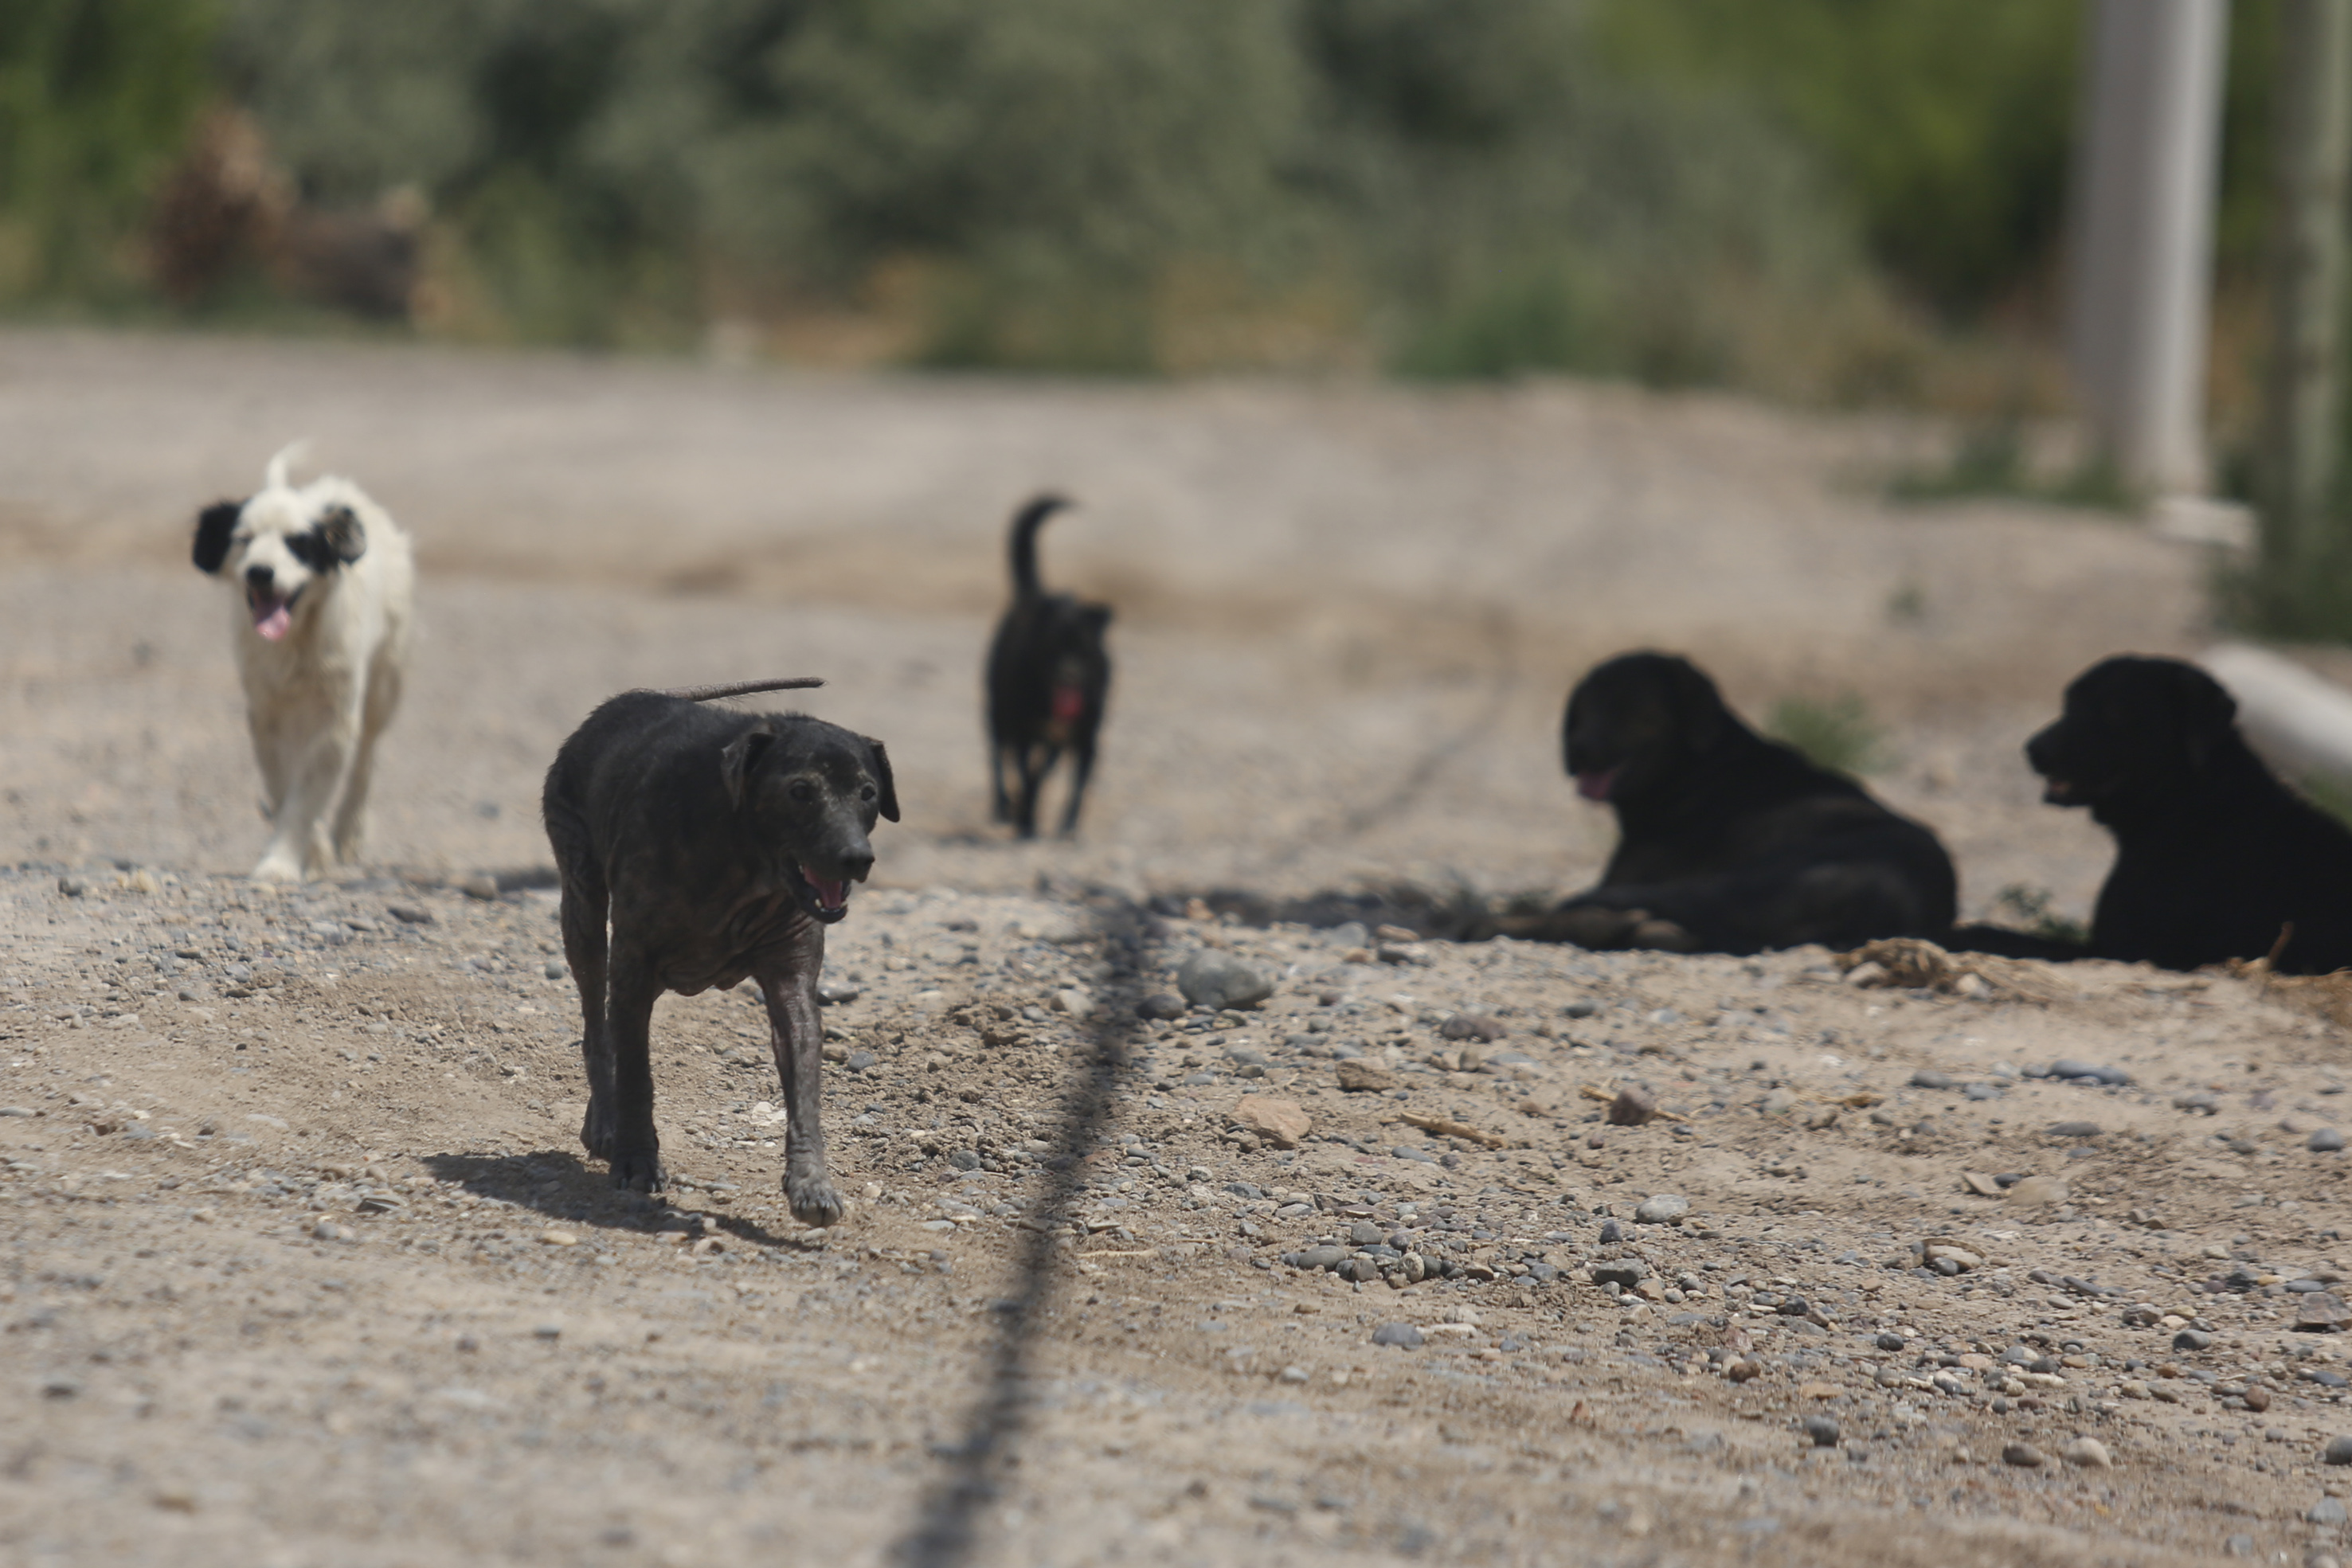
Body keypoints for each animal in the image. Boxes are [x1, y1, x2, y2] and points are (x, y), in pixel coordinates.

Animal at [195, 444, 416, 883]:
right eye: (243, 539)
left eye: (297, 542)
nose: (260, 572)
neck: (295, 641)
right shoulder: (265, 712)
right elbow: (284, 784)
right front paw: (309, 853)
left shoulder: (336, 714)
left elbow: (309, 788)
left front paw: (280, 864)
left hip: (385, 681)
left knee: (366, 756)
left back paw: (349, 831)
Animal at [541, 677, 898, 1222]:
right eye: (800, 791)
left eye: (868, 793)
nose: (856, 858)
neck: (741, 857)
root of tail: (622, 702)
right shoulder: (633, 968)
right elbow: (637, 1073)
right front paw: (636, 1158)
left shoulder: (792, 980)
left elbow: (804, 1077)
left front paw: (810, 1180)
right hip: (581, 903)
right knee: (595, 1019)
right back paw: (604, 1120)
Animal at [983, 495, 1109, 841]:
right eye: (1050, 651)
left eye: (1084, 650)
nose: (1069, 674)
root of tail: (1035, 595)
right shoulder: (1024, 733)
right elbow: (1026, 776)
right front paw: (1025, 818)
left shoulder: (1073, 741)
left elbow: (1056, 783)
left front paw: (1048, 822)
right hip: (998, 715)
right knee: (997, 757)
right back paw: (1003, 808)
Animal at [1956, 648, 2352, 968]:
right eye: (2069, 703)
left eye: (2115, 711)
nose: (2035, 749)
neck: (2186, 806)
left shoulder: (2121, 950)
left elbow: (1999, 936)